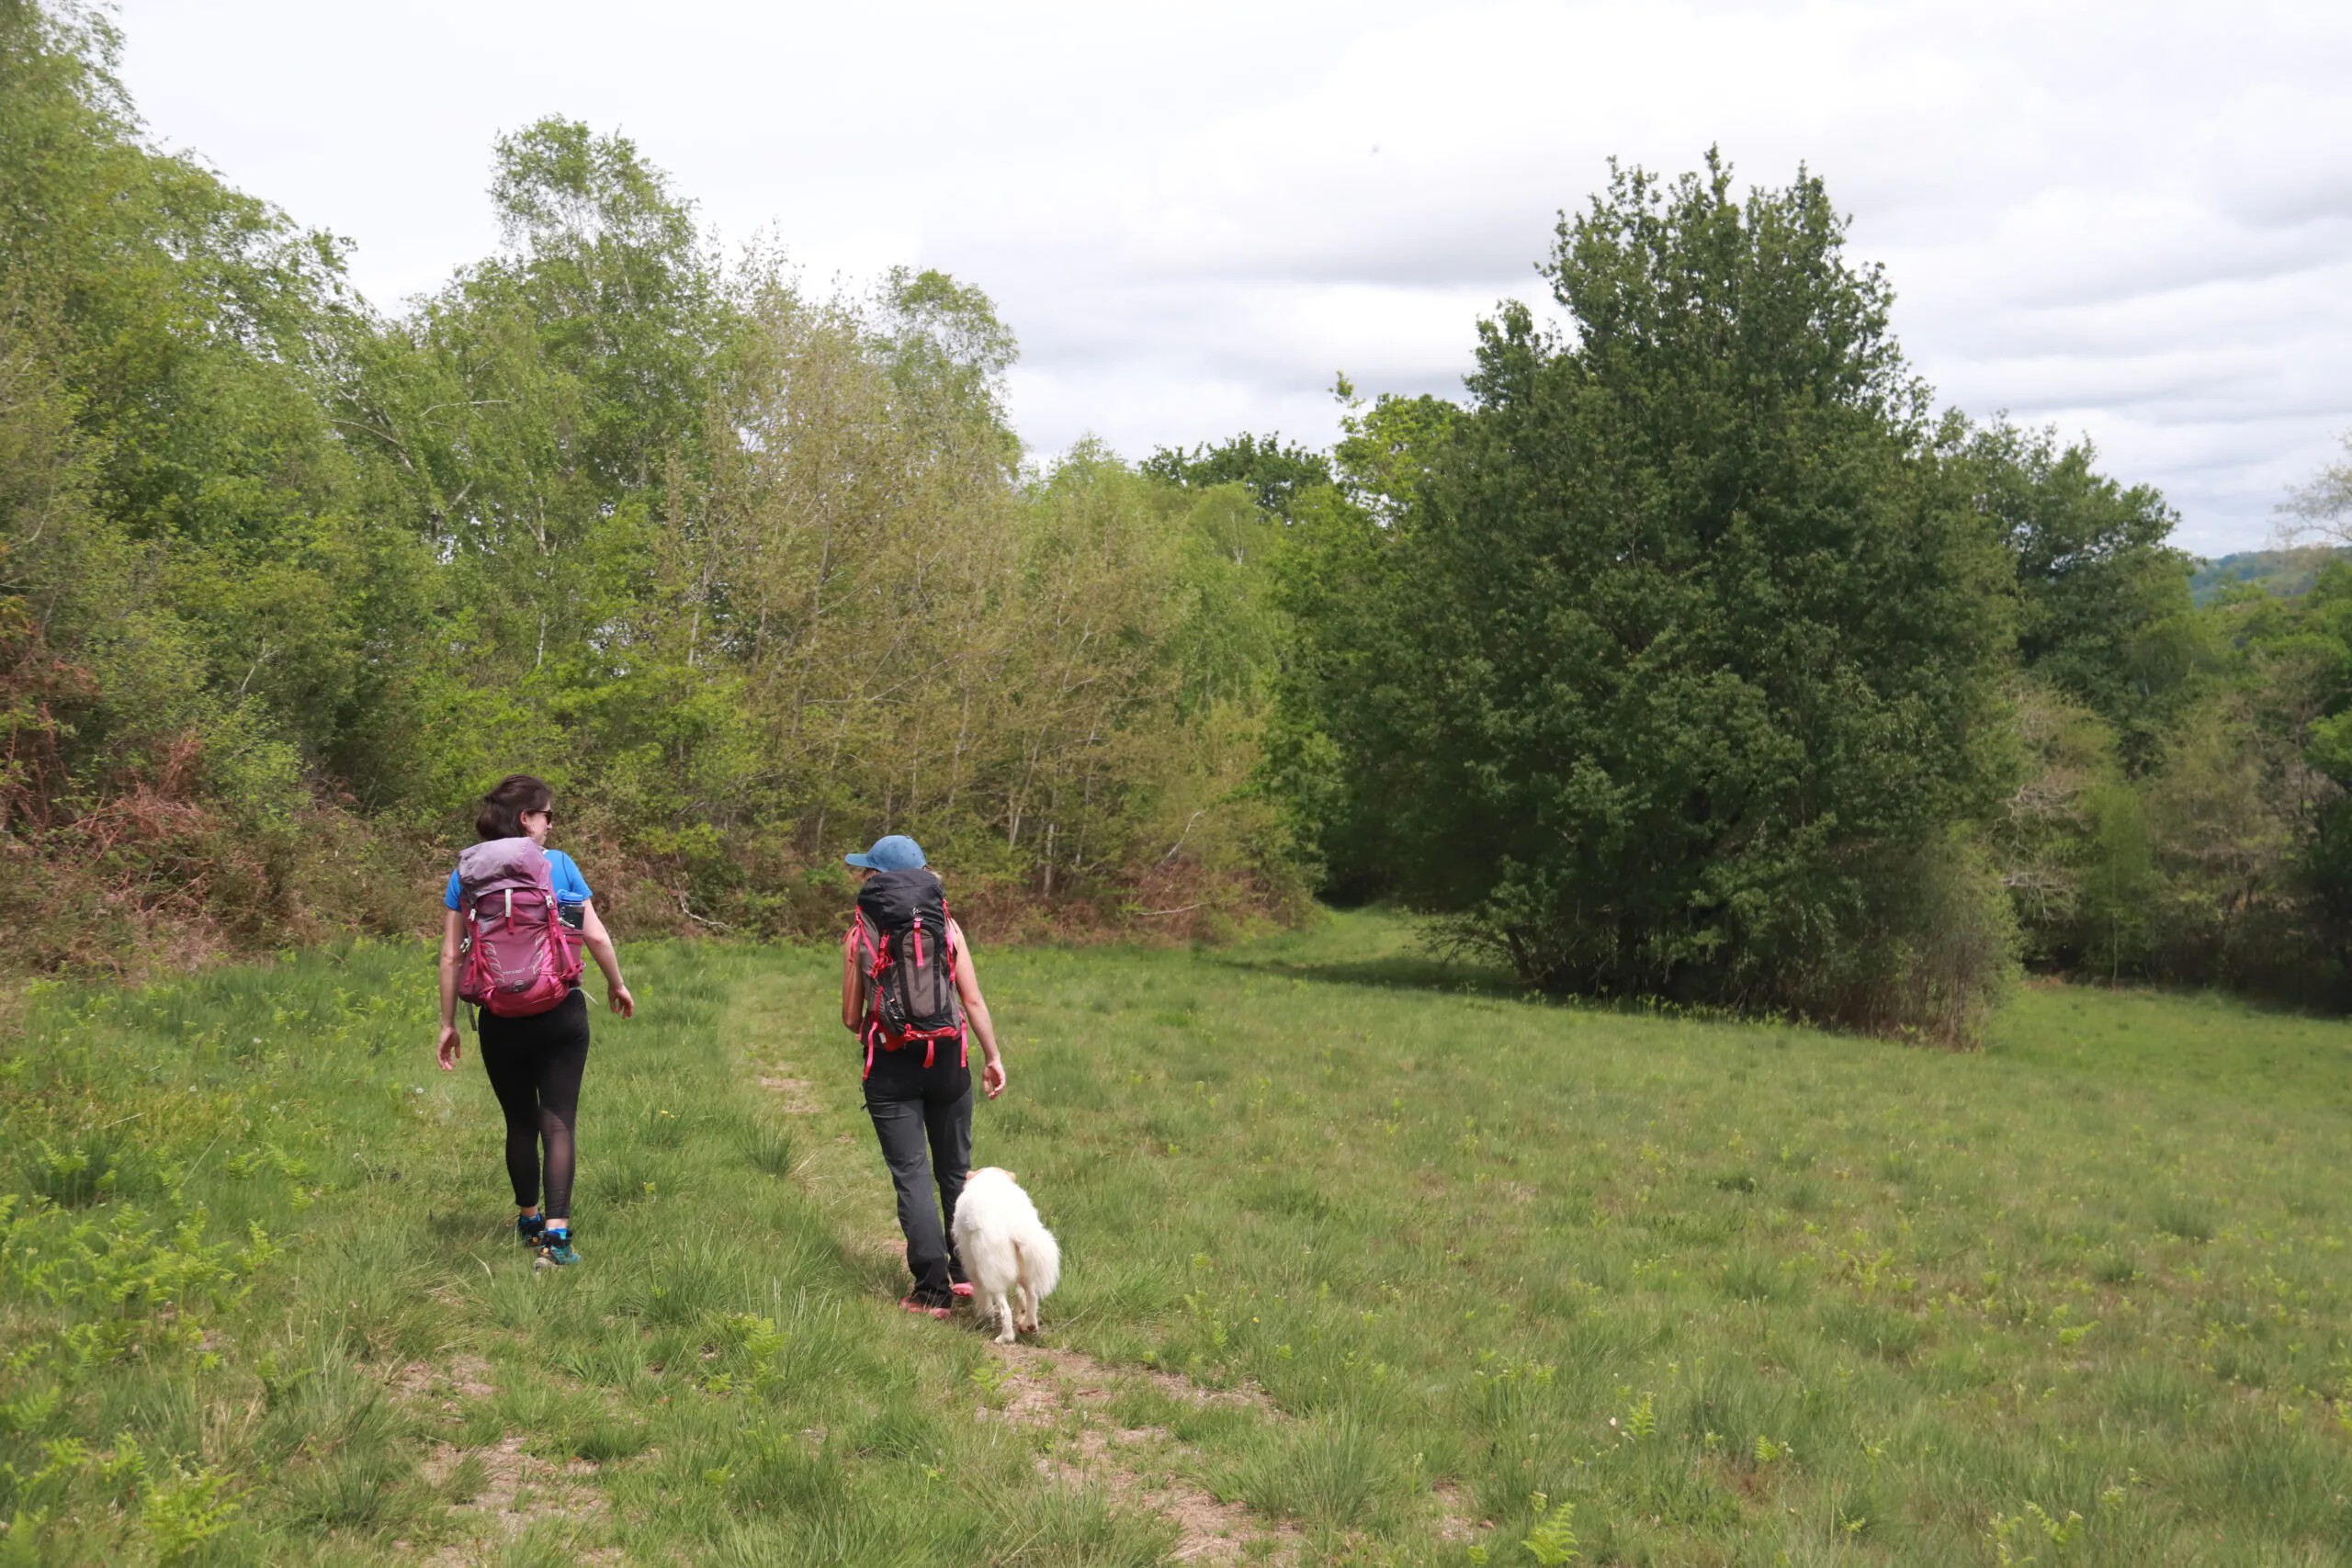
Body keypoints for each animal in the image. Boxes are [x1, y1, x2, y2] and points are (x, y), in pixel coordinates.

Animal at [955, 1166, 1068, 1354]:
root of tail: (1015, 1226)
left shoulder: (973, 1265)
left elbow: (981, 1295)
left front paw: (983, 1316)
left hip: (992, 1274)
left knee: (1005, 1310)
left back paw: (1004, 1337)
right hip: (1027, 1271)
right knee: (1032, 1297)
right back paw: (1030, 1325)